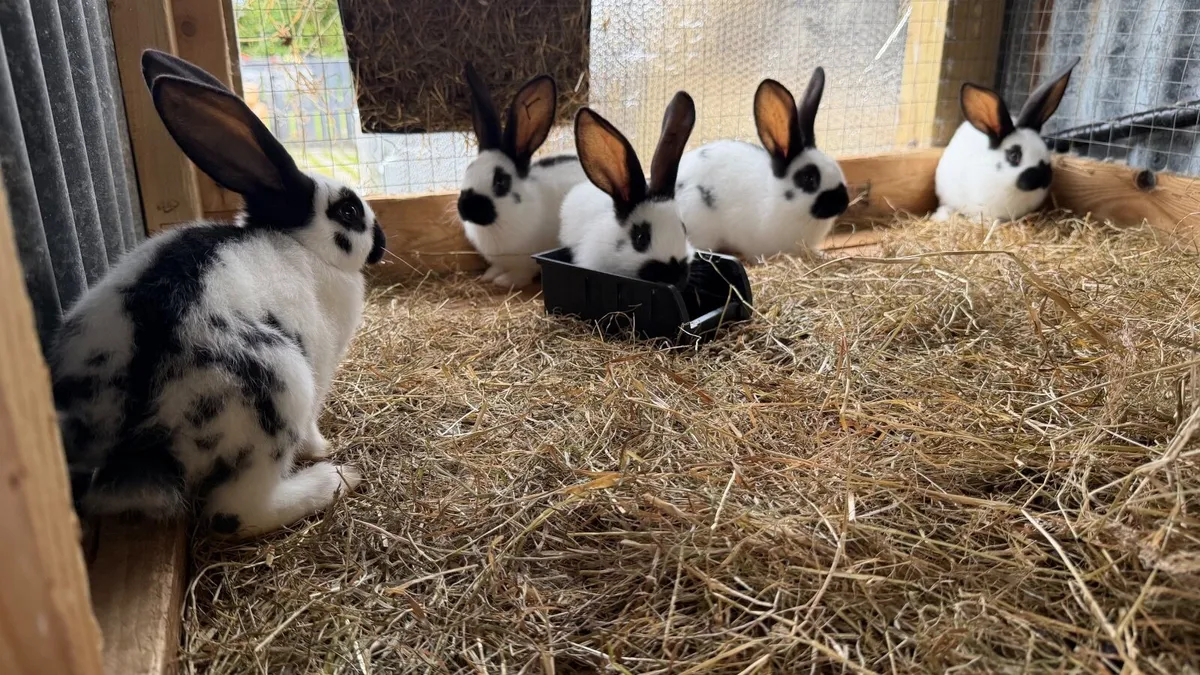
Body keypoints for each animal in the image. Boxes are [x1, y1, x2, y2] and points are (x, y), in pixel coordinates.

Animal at [51, 49, 387, 539]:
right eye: (348, 211)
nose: (381, 242)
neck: (301, 243)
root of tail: (135, 449)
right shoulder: (320, 370)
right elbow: (312, 430)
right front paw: (323, 448)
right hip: (282, 388)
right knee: (237, 512)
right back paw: (333, 479)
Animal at [457, 62, 587, 289]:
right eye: (468, 170)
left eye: (500, 181)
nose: (465, 207)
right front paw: (489, 275)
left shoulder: (526, 262)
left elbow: (521, 273)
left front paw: (504, 280)